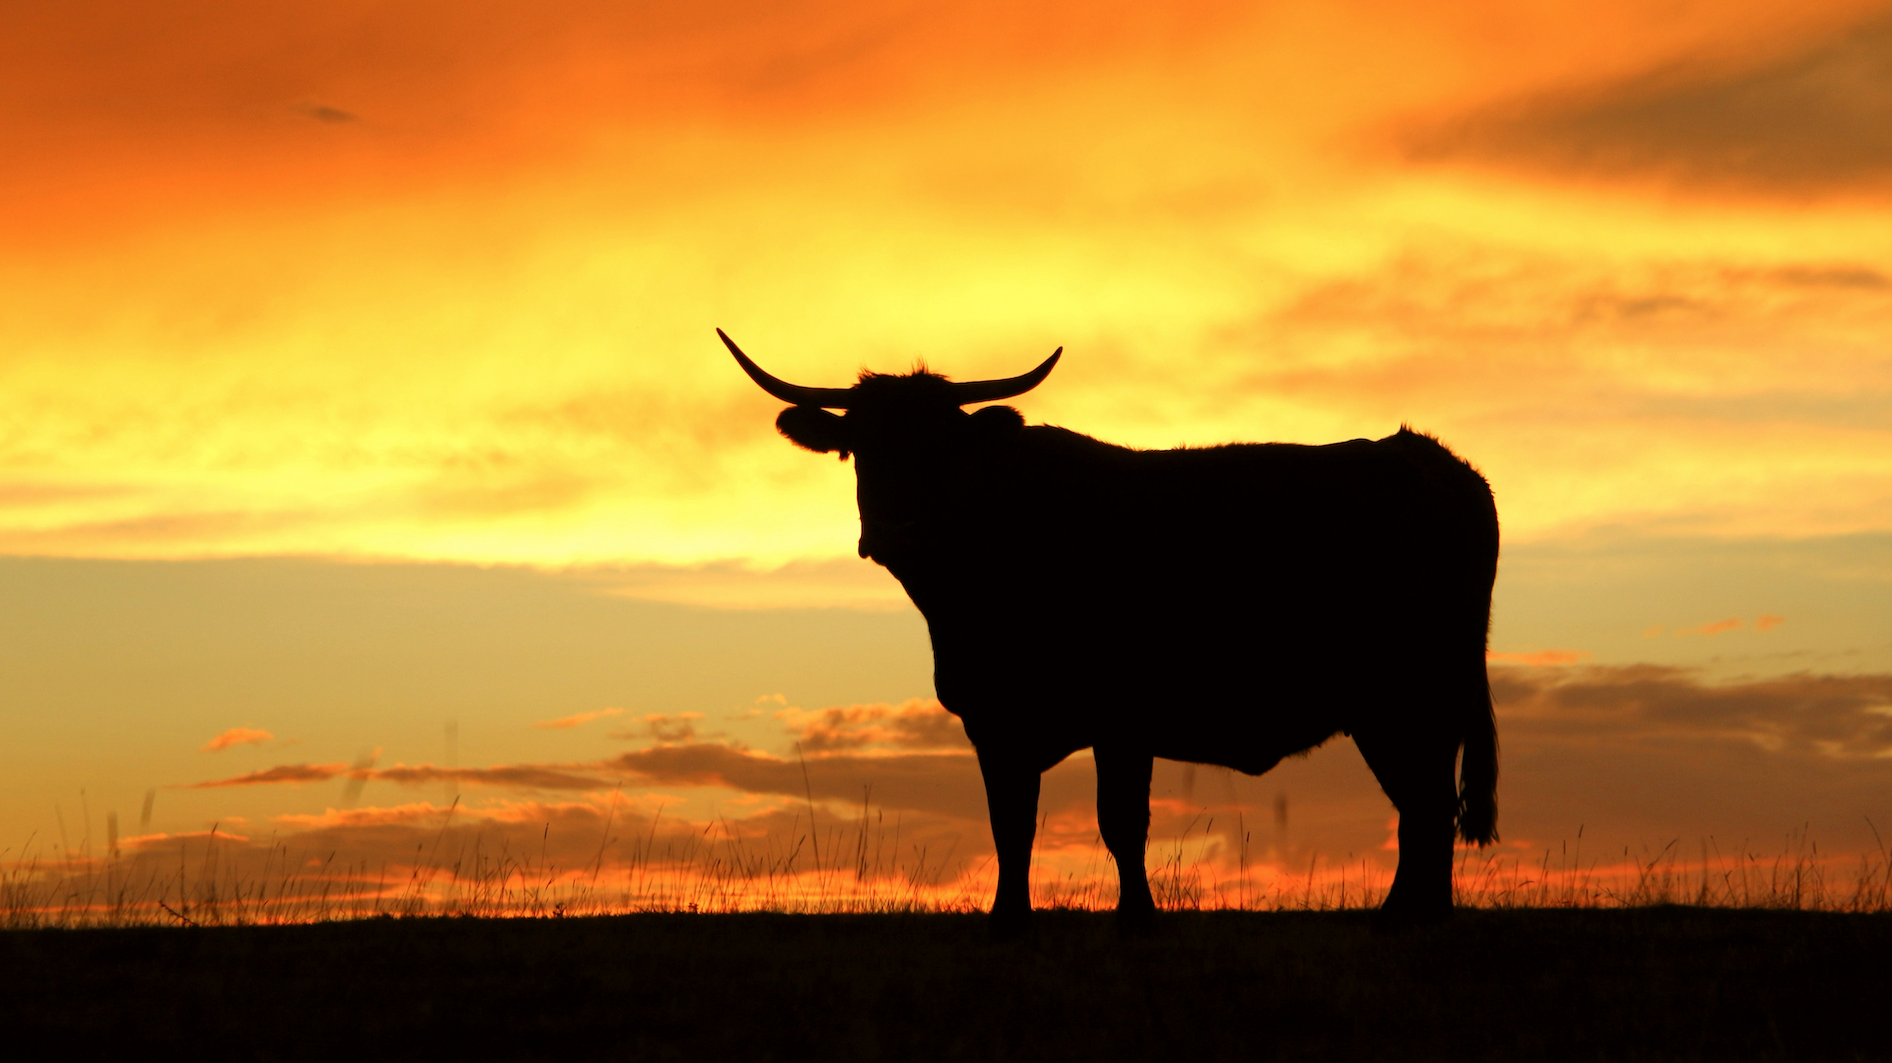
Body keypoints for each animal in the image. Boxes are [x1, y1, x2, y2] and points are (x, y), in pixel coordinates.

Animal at [722, 329, 1499, 932]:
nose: (898, 528)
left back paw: (1409, 918)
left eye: (945, 449)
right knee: (1424, 807)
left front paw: (1136, 916)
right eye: (861, 448)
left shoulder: (1122, 717)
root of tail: (1427, 456)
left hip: (1410, 698)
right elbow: (1012, 823)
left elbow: (1120, 820)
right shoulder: (993, 720)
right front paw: (1009, 918)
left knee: (1427, 808)